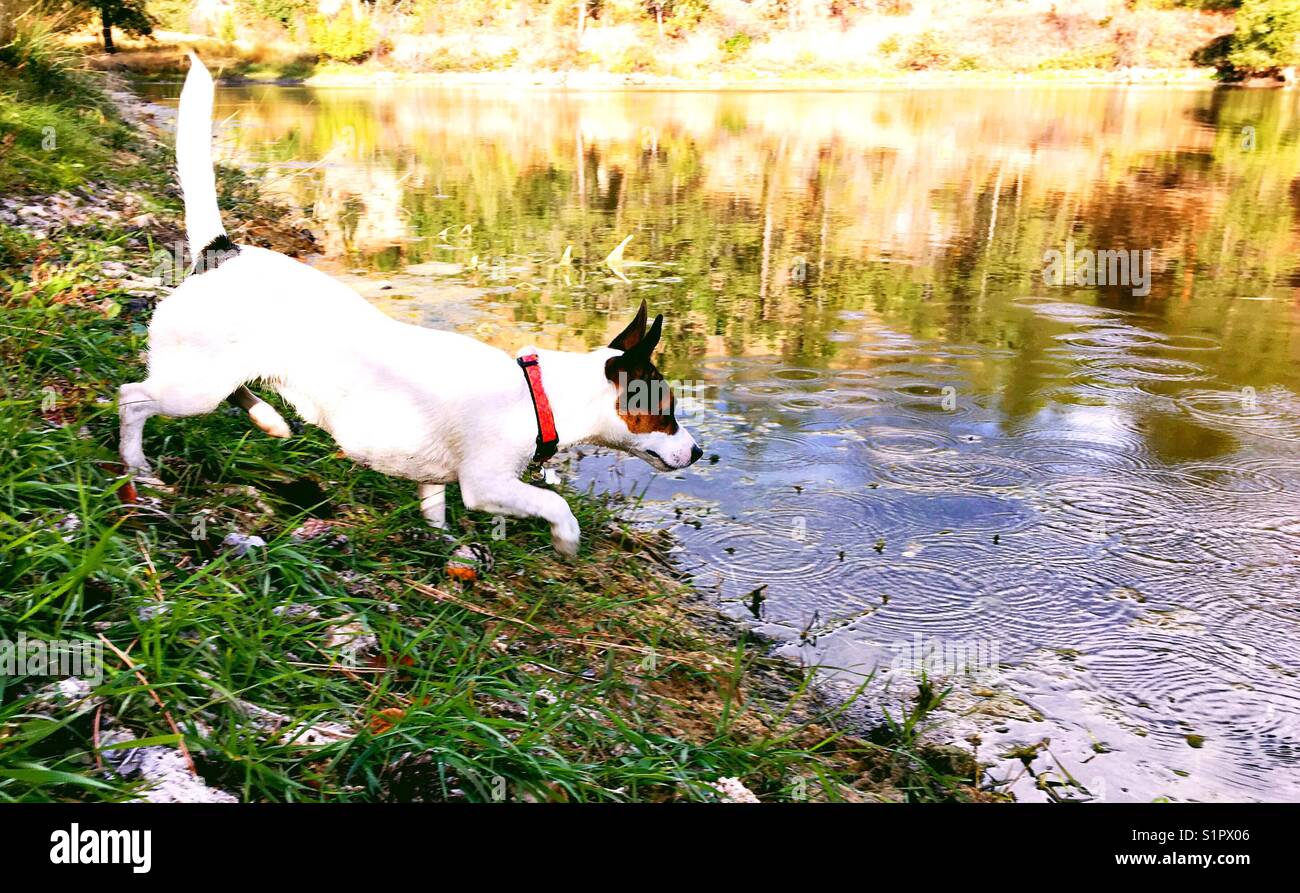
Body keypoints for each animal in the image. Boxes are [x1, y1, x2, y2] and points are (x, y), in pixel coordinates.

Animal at [120, 52, 707, 556]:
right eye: (666, 411)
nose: (701, 452)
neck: (540, 394)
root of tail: (221, 252)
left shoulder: (434, 481)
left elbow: (434, 513)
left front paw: (445, 546)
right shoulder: (486, 485)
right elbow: (555, 504)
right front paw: (566, 540)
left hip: (217, 374)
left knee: (234, 392)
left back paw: (269, 422)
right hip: (193, 387)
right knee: (134, 399)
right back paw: (136, 464)